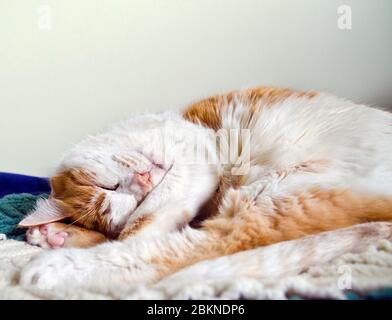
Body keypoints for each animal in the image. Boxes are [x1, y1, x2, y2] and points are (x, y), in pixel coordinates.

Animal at [17, 87, 392, 290]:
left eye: (106, 185)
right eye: (117, 194)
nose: (145, 181)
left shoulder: (193, 155)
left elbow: (138, 228)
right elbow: (136, 227)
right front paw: (56, 233)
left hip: (274, 193)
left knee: (206, 246)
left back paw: (58, 268)